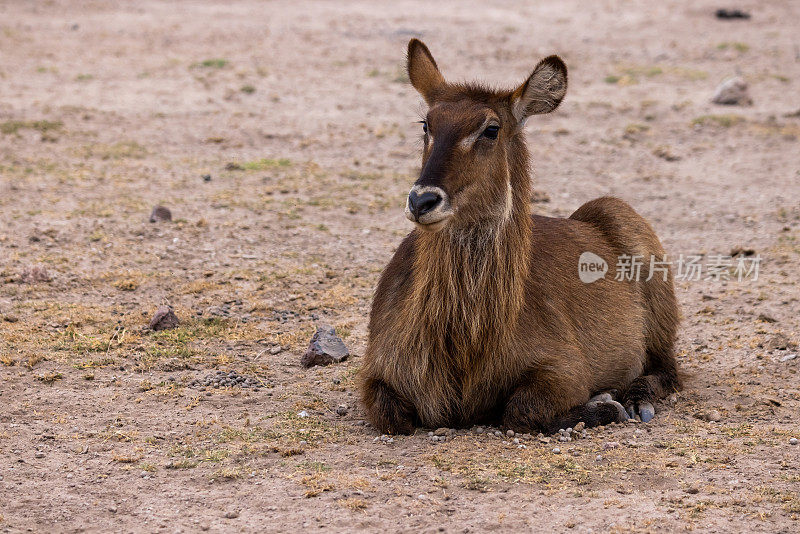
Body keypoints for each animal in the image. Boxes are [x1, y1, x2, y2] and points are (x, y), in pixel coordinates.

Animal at [360, 40, 680, 436]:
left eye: (491, 129)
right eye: (426, 124)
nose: (422, 201)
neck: (466, 347)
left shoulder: (565, 367)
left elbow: (520, 409)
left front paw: (605, 405)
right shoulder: (377, 370)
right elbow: (391, 416)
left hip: (626, 228)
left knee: (668, 369)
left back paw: (635, 400)